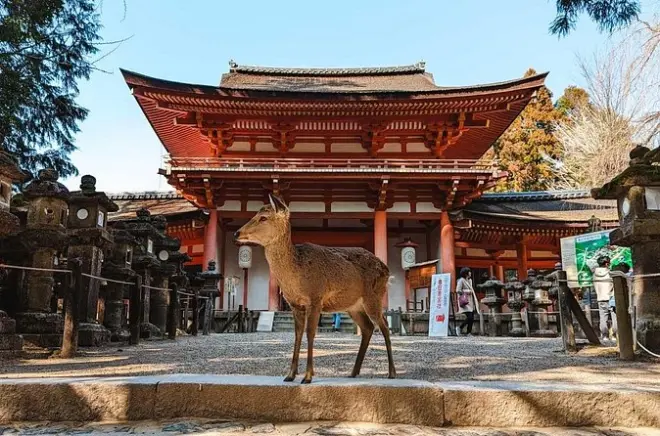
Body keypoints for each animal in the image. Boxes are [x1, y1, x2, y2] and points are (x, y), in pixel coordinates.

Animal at [233, 194, 396, 384]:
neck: (296, 275)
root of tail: (386, 268)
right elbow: (297, 334)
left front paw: (308, 376)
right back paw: (353, 372)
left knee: (384, 325)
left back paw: (392, 372)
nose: (237, 233)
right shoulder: (294, 304)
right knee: (368, 327)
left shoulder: (315, 297)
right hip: (353, 306)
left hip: (374, 296)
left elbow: (310, 332)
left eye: (263, 217)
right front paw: (290, 375)